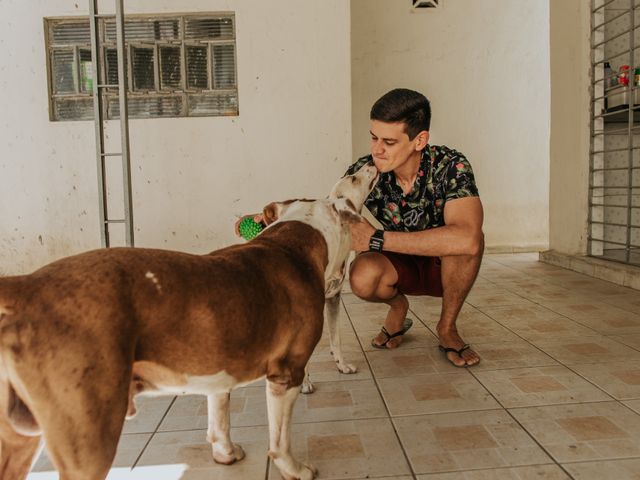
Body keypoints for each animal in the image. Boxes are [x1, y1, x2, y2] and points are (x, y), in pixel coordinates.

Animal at [0, 162, 378, 480]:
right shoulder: (287, 372)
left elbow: (219, 416)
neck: (294, 239)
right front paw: (294, 469)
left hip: (18, 436)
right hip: (88, 436)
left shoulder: (220, 363)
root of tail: (25, 287)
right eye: (352, 179)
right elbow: (280, 438)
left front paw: (225, 453)